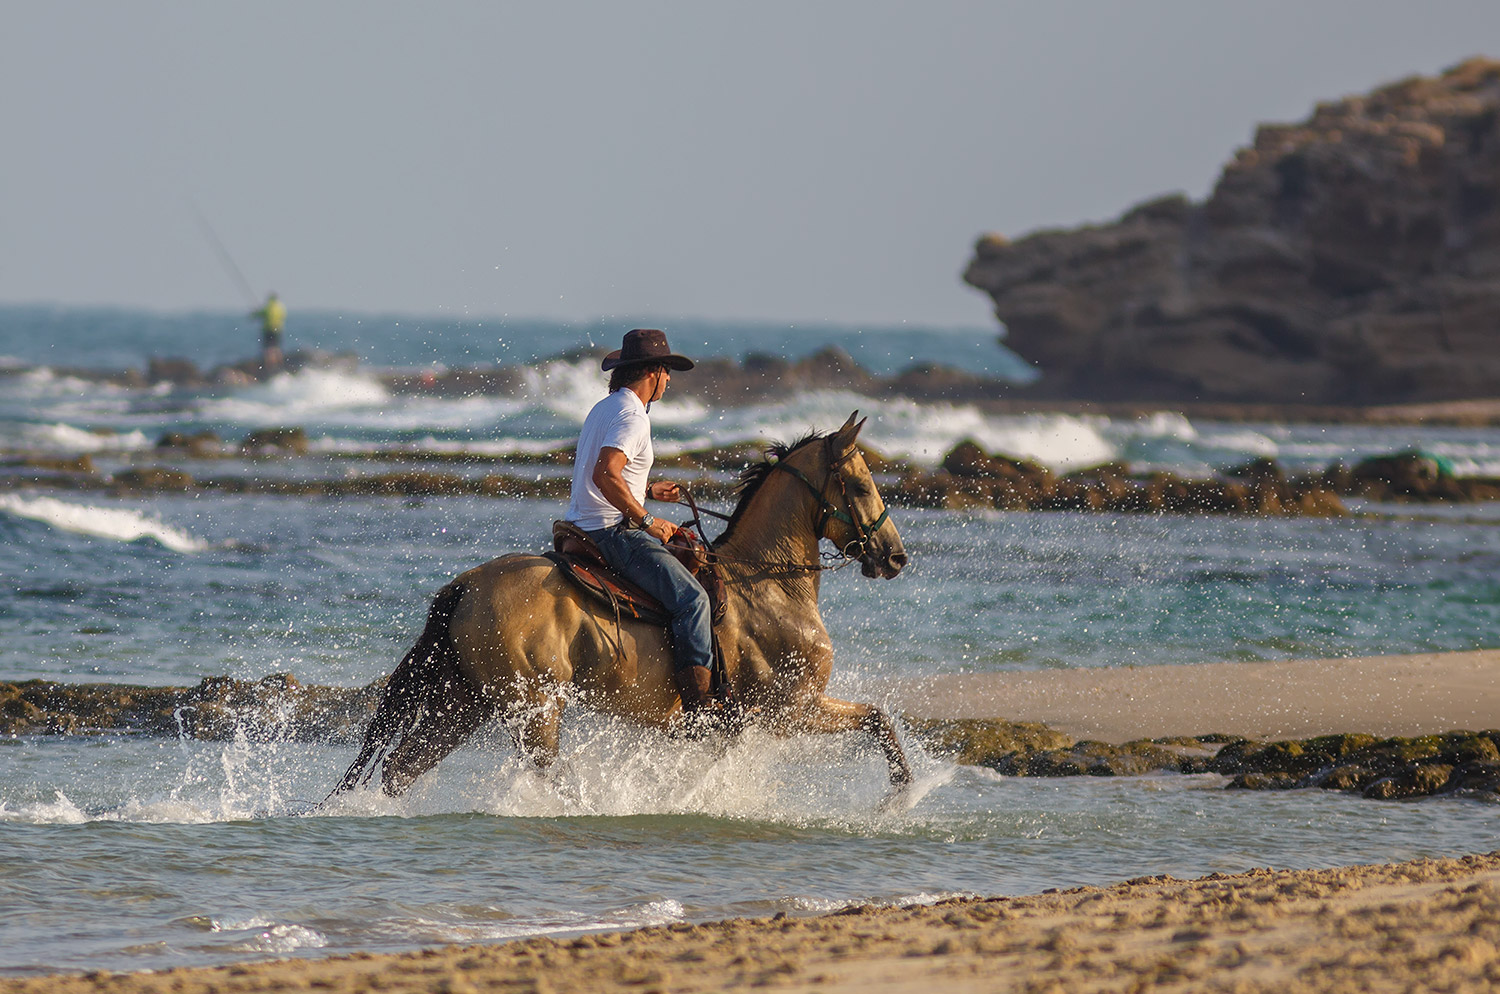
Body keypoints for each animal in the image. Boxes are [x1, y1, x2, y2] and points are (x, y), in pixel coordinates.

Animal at [333, 410, 906, 803]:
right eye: (860, 485)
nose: (895, 555)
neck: (763, 586)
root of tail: (467, 585)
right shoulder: (791, 710)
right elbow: (877, 719)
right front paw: (900, 798)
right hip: (533, 706)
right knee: (545, 771)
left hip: (466, 700)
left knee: (400, 769)